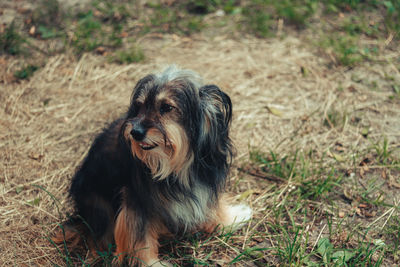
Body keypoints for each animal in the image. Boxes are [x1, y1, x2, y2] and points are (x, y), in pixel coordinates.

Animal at [55, 66, 250, 266]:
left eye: (166, 107)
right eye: (140, 106)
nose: (135, 132)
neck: (176, 164)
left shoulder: (205, 180)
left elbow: (213, 205)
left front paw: (231, 219)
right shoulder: (138, 201)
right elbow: (141, 237)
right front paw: (151, 262)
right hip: (100, 204)